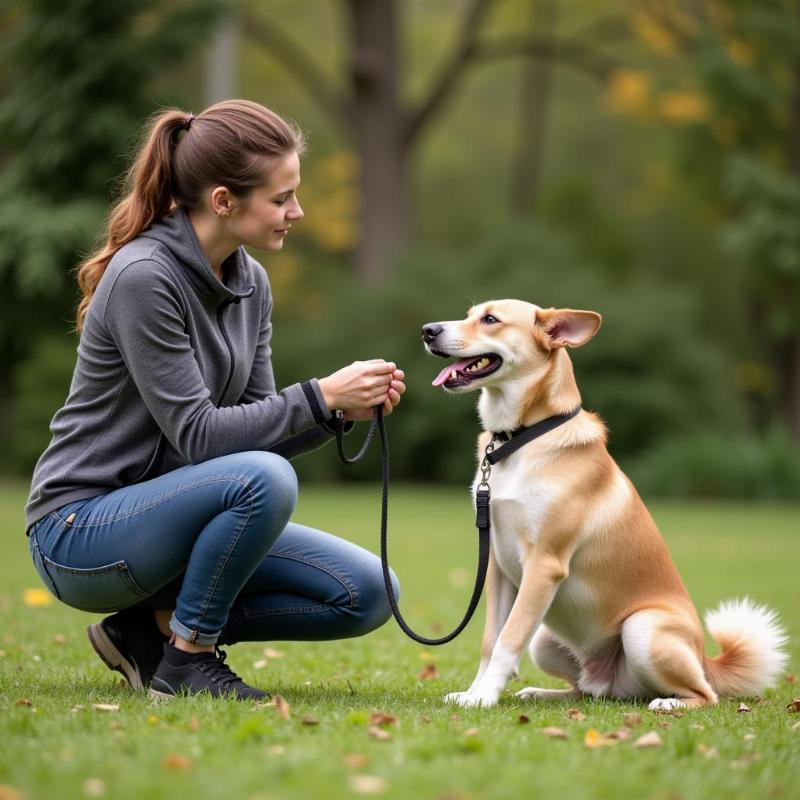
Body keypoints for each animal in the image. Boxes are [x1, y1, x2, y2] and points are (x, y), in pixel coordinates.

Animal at [424, 302, 788, 712]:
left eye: (490, 319)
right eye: (469, 313)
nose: (428, 330)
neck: (521, 440)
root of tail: (707, 662)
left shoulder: (543, 565)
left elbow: (507, 640)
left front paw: (484, 697)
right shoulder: (499, 569)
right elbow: (490, 641)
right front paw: (473, 692)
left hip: (642, 629)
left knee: (705, 695)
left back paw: (670, 704)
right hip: (546, 639)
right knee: (587, 690)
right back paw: (543, 692)